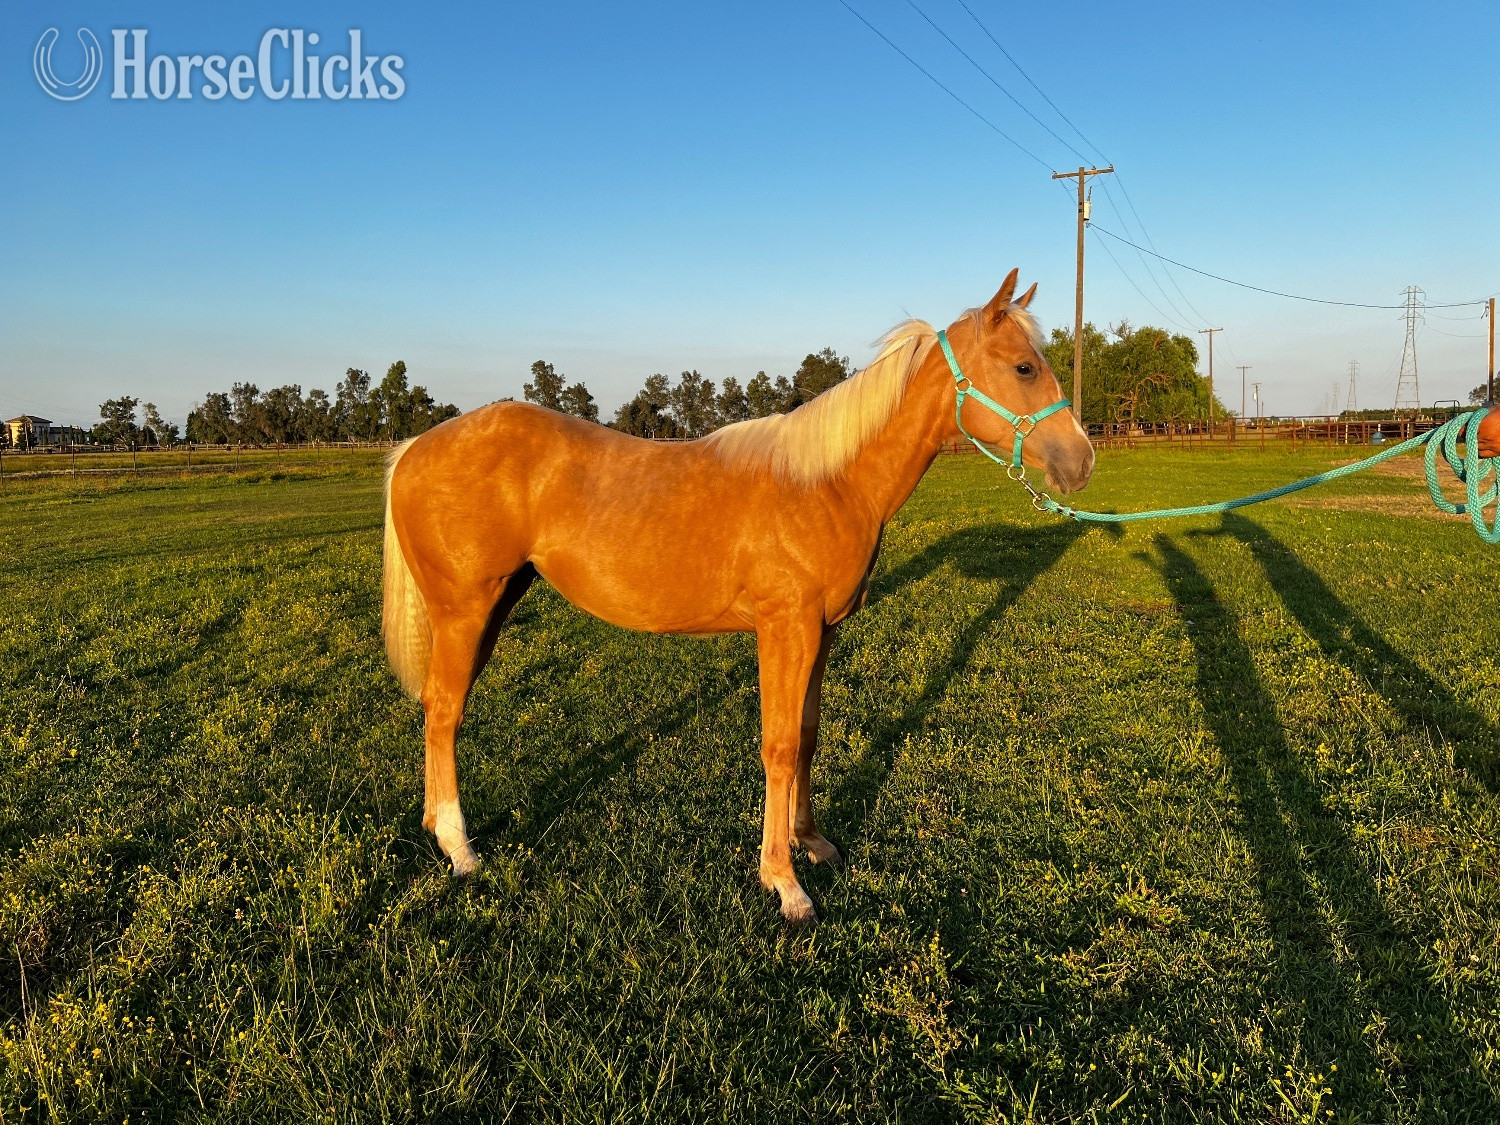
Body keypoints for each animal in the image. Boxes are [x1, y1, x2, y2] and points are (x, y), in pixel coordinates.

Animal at [382, 269, 1095, 923]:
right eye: (1025, 366)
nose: (1082, 461)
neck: (828, 483)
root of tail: (414, 448)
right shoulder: (786, 628)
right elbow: (776, 745)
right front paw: (784, 882)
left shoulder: (821, 631)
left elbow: (805, 736)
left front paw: (811, 843)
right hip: (466, 611)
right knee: (444, 711)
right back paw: (461, 849)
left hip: (495, 605)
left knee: (439, 709)